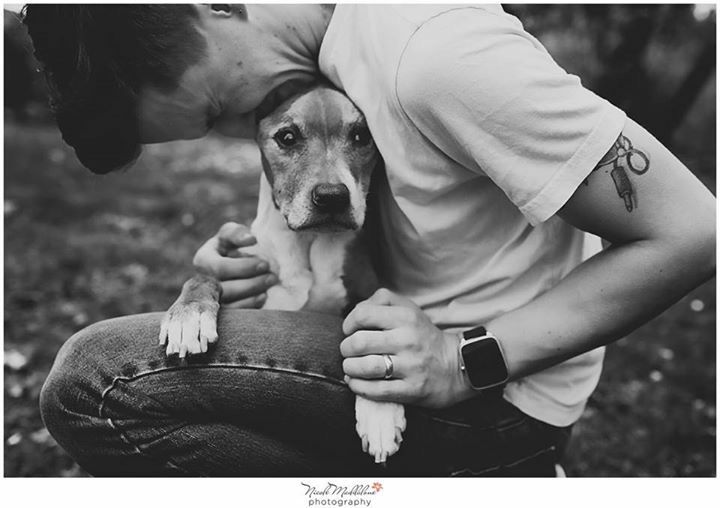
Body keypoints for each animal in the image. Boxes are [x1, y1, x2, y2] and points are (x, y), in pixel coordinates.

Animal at [162, 84, 404, 464]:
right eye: (287, 137)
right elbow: (203, 277)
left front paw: (380, 413)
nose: (332, 197)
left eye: (362, 136)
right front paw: (188, 317)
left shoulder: (371, 292)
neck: (308, 244)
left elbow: (375, 329)